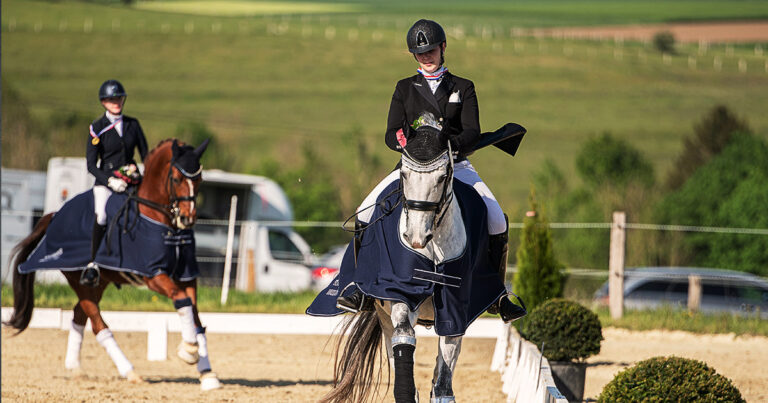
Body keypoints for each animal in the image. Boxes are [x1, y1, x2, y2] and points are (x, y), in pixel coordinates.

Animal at [6, 139, 222, 392]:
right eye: (177, 179)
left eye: (200, 180)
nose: (187, 219)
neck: (163, 221)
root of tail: (54, 215)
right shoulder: (153, 274)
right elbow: (181, 299)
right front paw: (188, 350)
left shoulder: (187, 275)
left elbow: (196, 318)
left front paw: (207, 374)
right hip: (78, 279)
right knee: (98, 324)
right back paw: (130, 372)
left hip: (100, 283)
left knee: (79, 313)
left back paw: (75, 368)